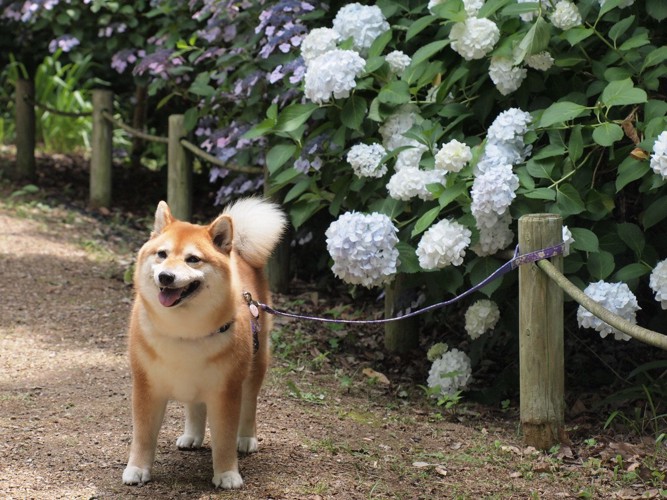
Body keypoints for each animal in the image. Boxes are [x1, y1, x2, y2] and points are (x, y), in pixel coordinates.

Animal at [122, 198, 288, 488]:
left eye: (193, 259)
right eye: (162, 254)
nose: (166, 277)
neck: (185, 331)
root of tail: (240, 254)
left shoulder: (226, 391)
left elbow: (224, 439)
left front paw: (227, 474)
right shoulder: (146, 387)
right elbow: (143, 436)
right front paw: (138, 469)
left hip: (255, 366)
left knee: (249, 405)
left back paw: (246, 438)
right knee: (195, 406)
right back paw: (192, 436)